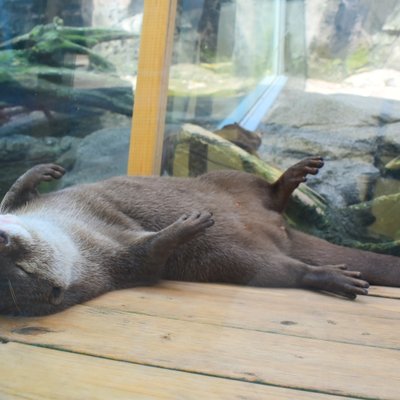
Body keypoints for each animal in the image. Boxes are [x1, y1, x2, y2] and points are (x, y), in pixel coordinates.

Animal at [0, 156, 398, 316]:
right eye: (21, 269)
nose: (4, 240)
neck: (74, 232)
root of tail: (280, 232)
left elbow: (13, 194)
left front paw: (40, 171)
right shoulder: (113, 262)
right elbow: (148, 257)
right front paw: (185, 227)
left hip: (228, 179)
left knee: (266, 190)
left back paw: (293, 176)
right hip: (243, 262)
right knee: (283, 269)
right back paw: (331, 277)